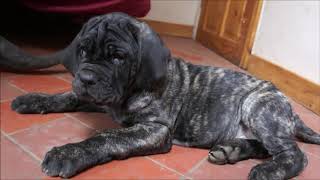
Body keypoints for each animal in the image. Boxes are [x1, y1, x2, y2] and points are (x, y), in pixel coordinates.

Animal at [0, 12, 320, 179]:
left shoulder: (155, 129)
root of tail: (289, 109)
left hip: (258, 108)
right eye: (82, 51)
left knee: (294, 154)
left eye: (117, 57)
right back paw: (232, 150)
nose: (86, 78)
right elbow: (68, 96)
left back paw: (269, 170)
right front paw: (33, 99)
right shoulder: (96, 97)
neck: (129, 91)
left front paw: (68, 153)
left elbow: (106, 136)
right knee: (264, 146)